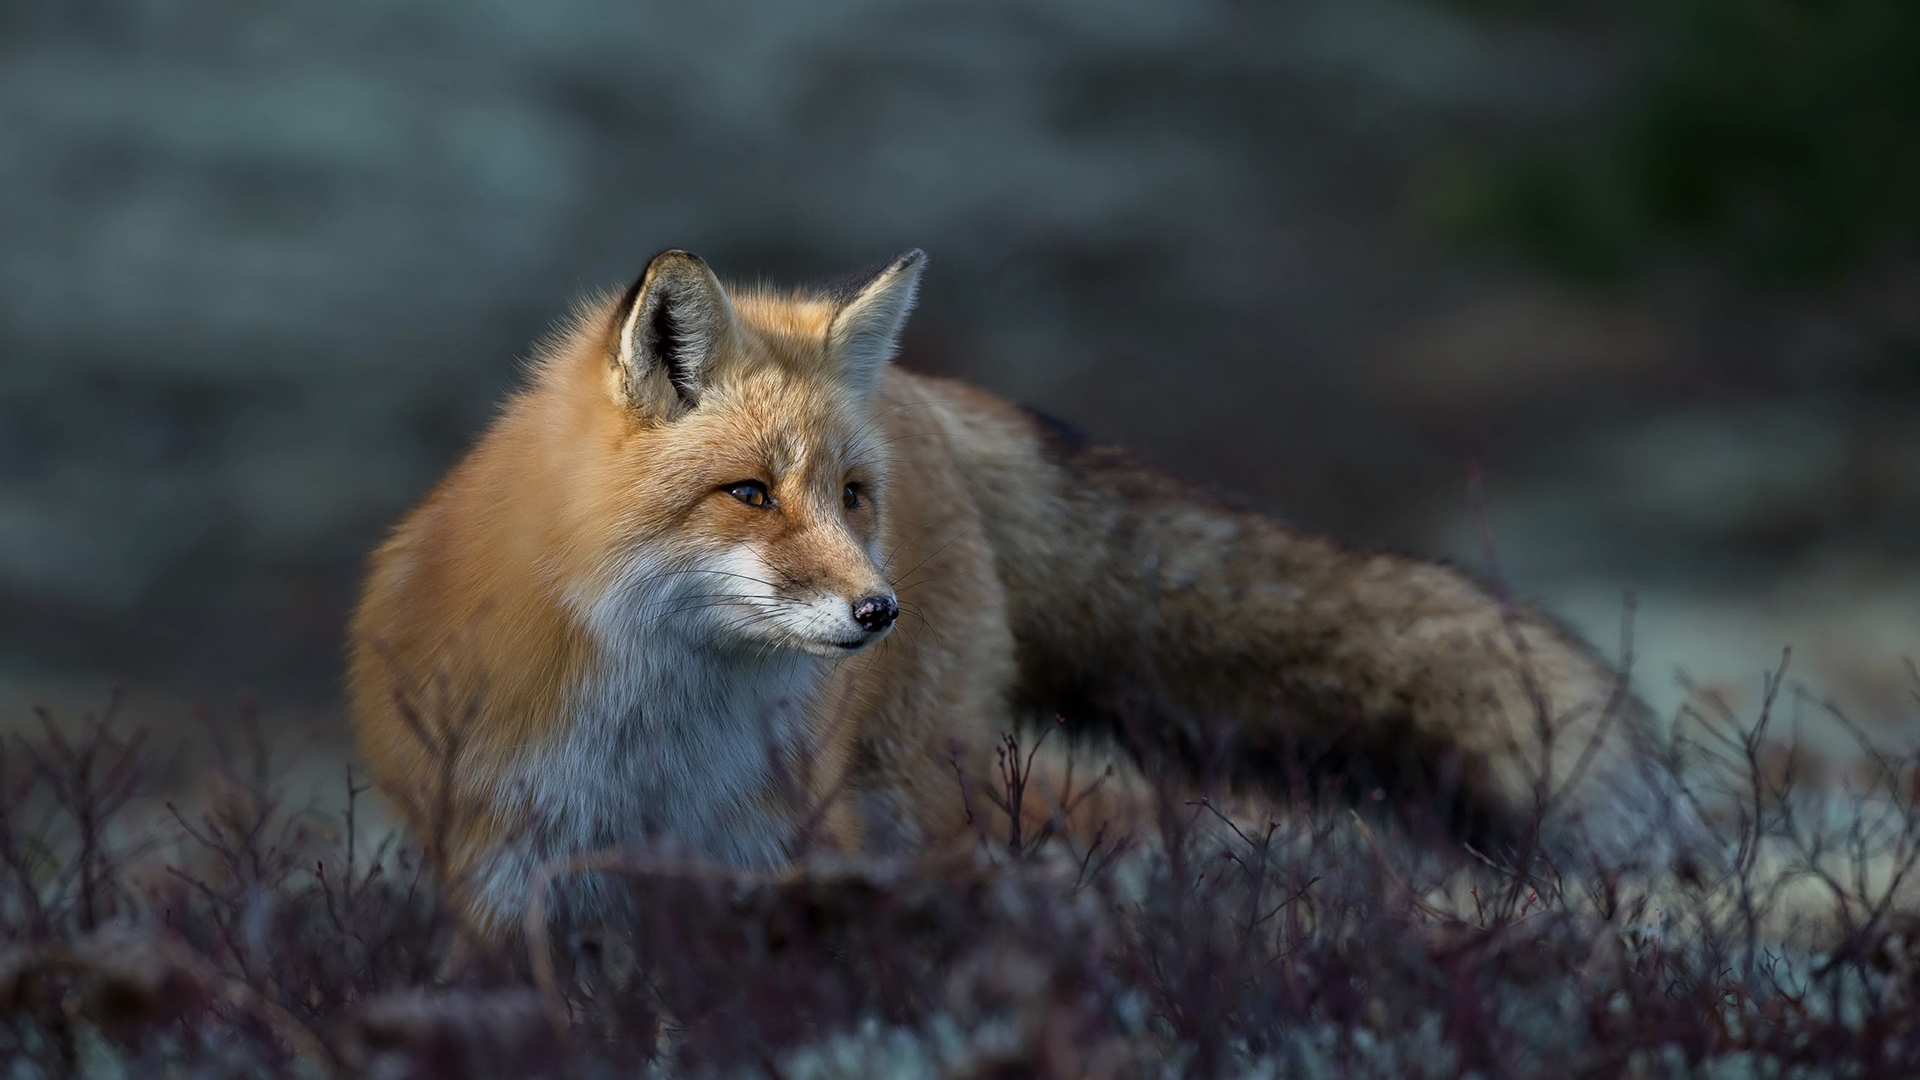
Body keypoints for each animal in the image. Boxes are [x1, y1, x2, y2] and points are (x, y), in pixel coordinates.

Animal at [345, 247, 1697, 930]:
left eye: (850, 495)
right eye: (749, 494)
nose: (876, 612)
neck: (653, 741)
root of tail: (934, 393)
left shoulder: (758, 861)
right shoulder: (504, 873)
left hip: (904, 801)